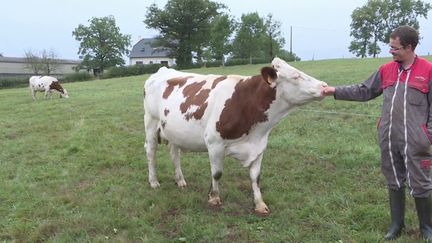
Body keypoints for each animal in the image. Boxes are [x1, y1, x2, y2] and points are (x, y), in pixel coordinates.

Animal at [143, 57, 326, 215]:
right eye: (296, 76)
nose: (325, 86)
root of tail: (163, 69)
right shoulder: (214, 143)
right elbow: (217, 173)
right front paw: (214, 198)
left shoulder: (259, 145)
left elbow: (256, 177)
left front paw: (260, 204)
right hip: (151, 123)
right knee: (151, 152)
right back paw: (153, 182)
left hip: (173, 131)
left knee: (175, 153)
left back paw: (180, 180)